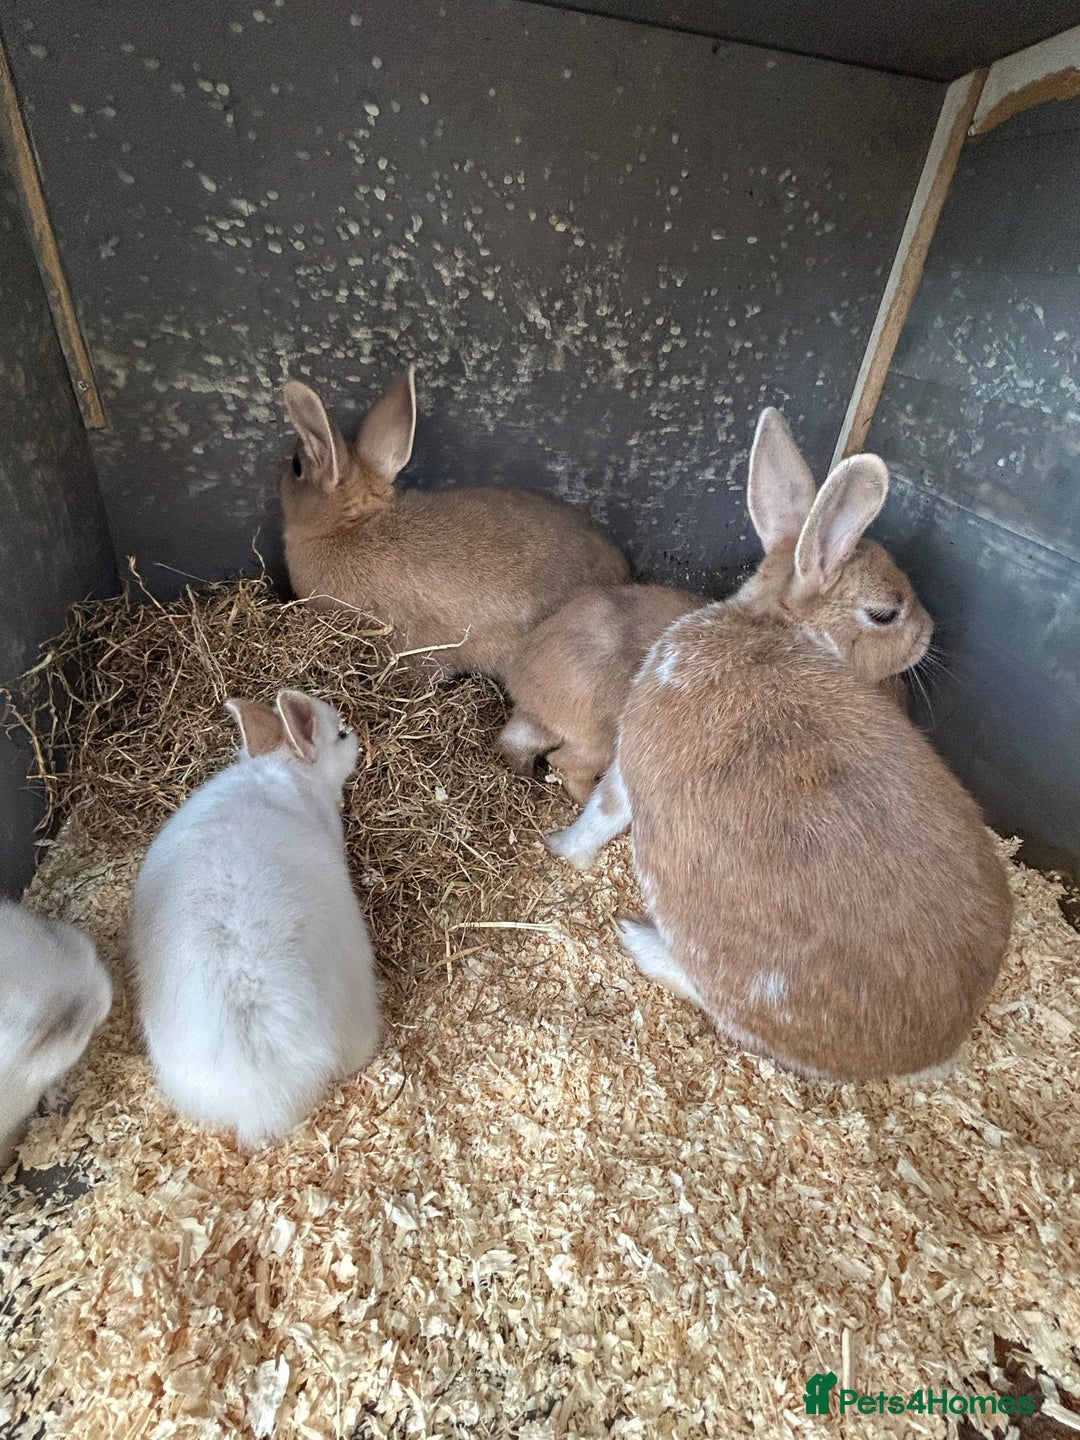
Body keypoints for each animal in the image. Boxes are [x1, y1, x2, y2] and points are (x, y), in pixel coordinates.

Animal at [547, 407, 1012, 1083]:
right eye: (886, 613)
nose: (929, 635)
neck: (773, 626)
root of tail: (928, 1050)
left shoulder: (632, 761)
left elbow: (602, 813)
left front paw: (559, 848)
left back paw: (637, 939)